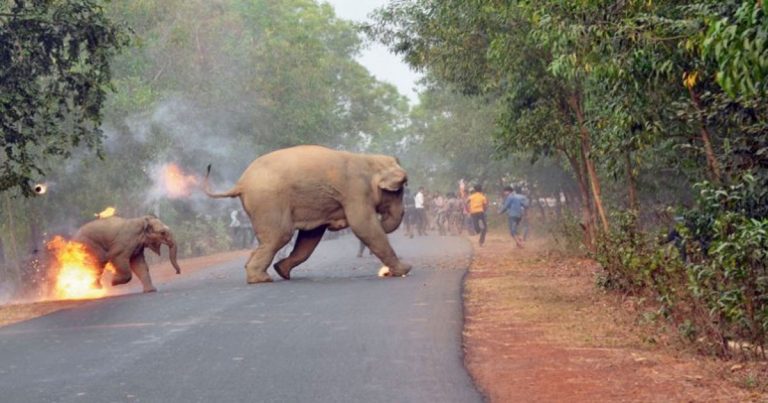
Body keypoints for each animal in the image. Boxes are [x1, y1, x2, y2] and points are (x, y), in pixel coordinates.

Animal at [201, 145, 412, 284]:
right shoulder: (356, 191)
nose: (384, 221)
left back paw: (274, 274)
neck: (369, 160)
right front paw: (405, 270)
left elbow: (311, 236)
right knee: (279, 236)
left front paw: (282, 270)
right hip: (269, 201)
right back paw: (261, 279)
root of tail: (241, 183)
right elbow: (363, 225)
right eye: (399, 191)